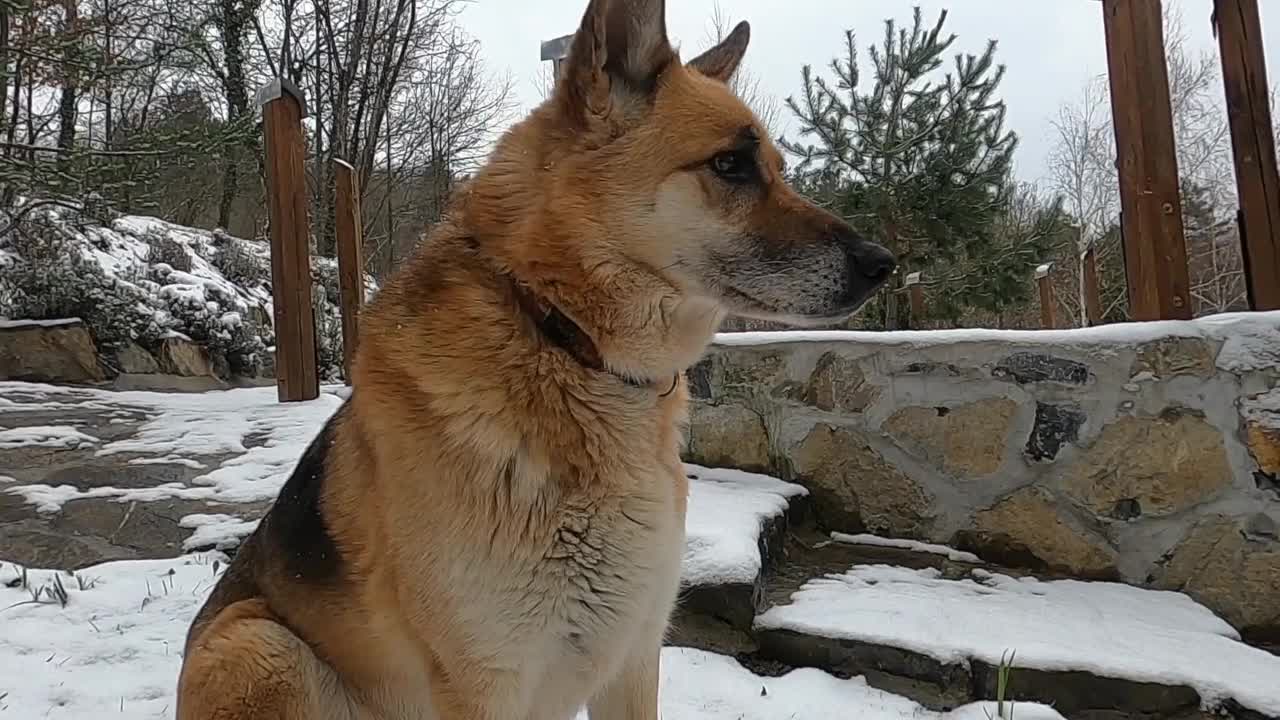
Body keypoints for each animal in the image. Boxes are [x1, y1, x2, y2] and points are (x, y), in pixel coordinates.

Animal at [177, 0, 890, 712]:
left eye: (775, 167)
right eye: (731, 165)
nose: (883, 263)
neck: (563, 340)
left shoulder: (633, 659)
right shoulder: (485, 683)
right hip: (258, 645)